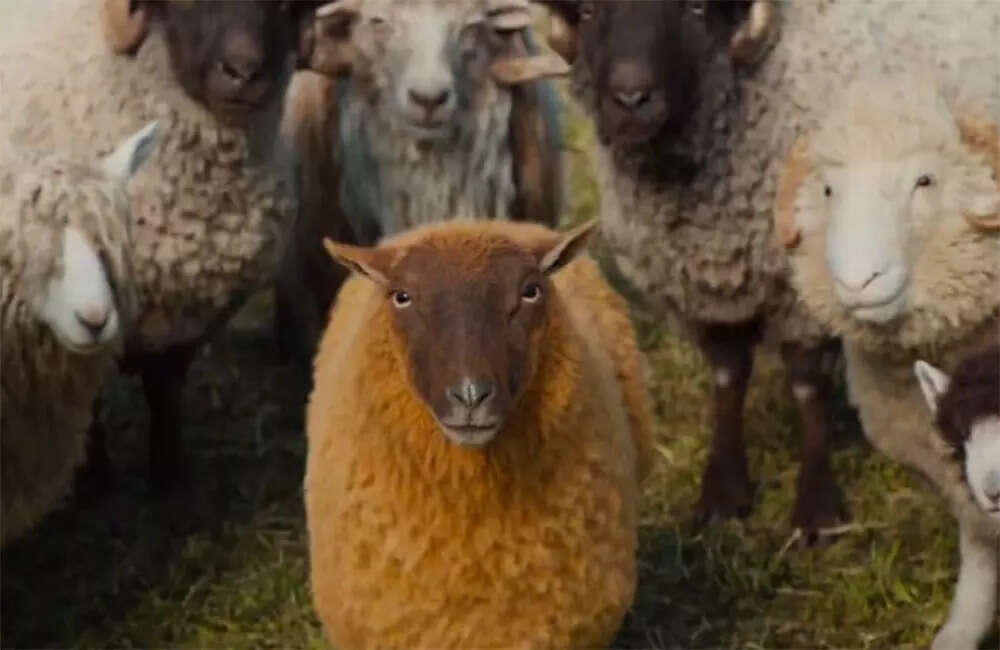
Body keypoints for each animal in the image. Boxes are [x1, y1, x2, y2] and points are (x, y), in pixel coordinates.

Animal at [0, 0, 324, 494]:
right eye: (191, 4)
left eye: (286, 7)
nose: (244, 73)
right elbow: (92, 401)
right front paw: (93, 480)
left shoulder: (187, 319)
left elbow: (166, 391)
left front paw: (170, 478)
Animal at [532, 0, 852, 542]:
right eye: (590, 12)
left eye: (696, 9)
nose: (631, 98)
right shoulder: (705, 287)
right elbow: (727, 375)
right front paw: (722, 494)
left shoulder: (808, 279)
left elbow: (807, 383)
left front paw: (818, 510)